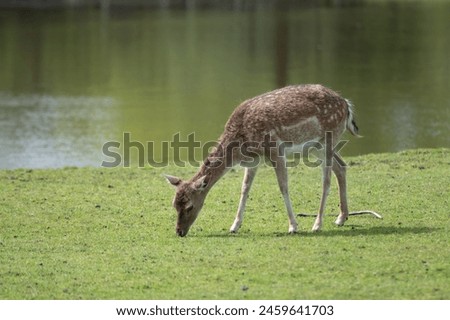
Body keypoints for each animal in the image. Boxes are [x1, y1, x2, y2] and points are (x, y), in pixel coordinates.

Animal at [167, 84, 360, 236]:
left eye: (189, 206)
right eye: (174, 205)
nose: (179, 232)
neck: (241, 144)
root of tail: (346, 105)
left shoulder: (275, 150)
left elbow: (283, 186)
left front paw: (293, 226)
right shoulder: (254, 160)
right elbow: (245, 188)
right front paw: (234, 226)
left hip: (329, 138)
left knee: (326, 180)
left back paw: (317, 224)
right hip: (316, 147)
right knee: (341, 167)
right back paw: (341, 218)